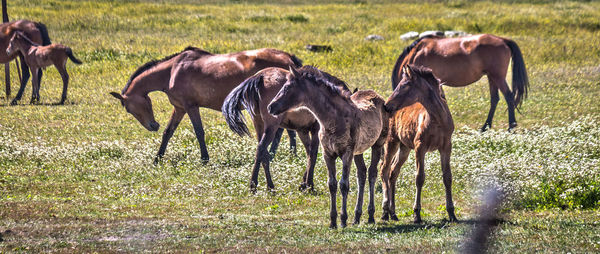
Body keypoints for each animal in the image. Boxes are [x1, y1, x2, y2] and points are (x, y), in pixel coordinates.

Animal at [109, 46, 300, 164]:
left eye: (128, 109)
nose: (153, 126)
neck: (172, 71)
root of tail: (288, 57)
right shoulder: (179, 108)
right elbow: (168, 132)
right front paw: (157, 159)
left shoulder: (190, 107)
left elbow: (199, 132)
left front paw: (204, 159)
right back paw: (286, 154)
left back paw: (281, 154)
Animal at [268, 65, 390, 228]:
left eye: (287, 87)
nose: (270, 107)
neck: (334, 119)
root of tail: (379, 97)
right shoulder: (328, 154)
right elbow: (332, 184)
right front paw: (333, 221)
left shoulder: (346, 153)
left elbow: (344, 184)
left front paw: (343, 219)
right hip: (358, 152)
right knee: (362, 174)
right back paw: (357, 217)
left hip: (377, 144)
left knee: (372, 173)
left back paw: (370, 215)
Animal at [382, 64, 458, 223]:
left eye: (404, 85)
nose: (386, 106)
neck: (438, 119)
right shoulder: (420, 147)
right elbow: (419, 177)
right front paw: (417, 214)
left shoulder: (446, 147)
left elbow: (447, 177)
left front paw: (452, 213)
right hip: (391, 142)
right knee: (384, 170)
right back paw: (385, 212)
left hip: (404, 148)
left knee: (393, 172)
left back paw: (393, 213)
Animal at [392, 33, 528, 131]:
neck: (417, 53)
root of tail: (503, 40)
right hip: (492, 77)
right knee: (495, 99)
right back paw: (485, 127)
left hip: (497, 77)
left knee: (508, 96)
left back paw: (511, 126)